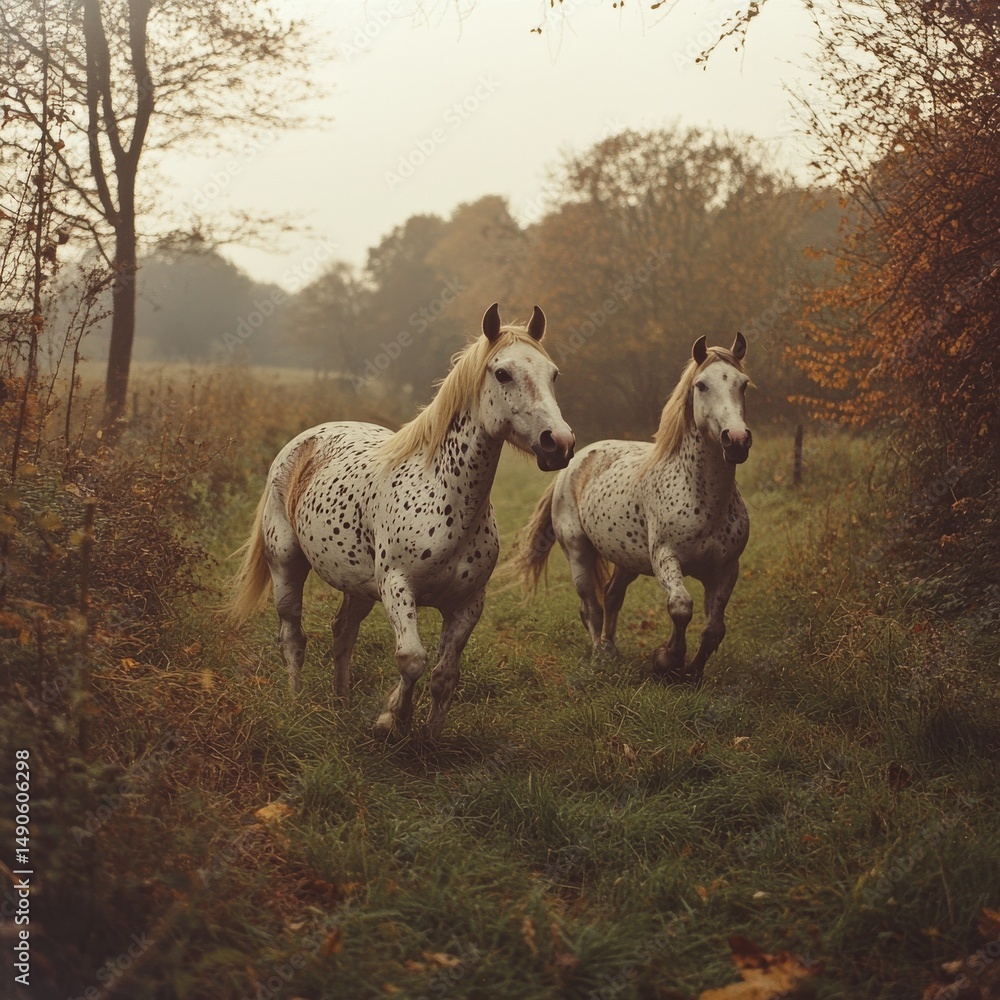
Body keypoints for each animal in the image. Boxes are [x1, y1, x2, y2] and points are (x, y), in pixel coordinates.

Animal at [228, 303, 575, 740]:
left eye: (554, 374)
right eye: (502, 373)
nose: (558, 443)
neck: (447, 498)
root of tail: (303, 442)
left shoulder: (468, 604)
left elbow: (445, 675)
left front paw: (430, 737)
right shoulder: (397, 587)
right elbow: (412, 659)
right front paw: (391, 719)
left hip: (358, 586)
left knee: (342, 633)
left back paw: (341, 703)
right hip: (286, 564)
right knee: (292, 636)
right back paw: (294, 702)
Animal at [515, 333, 751, 685]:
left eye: (743, 384)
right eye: (702, 385)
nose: (735, 440)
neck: (706, 500)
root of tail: (573, 461)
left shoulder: (726, 569)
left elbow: (713, 630)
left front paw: (692, 672)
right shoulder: (666, 558)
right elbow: (681, 607)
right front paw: (667, 661)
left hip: (626, 560)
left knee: (612, 596)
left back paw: (611, 648)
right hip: (578, 552)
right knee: (591, 606)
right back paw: (600, 654)